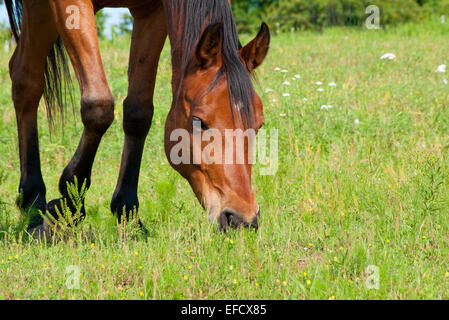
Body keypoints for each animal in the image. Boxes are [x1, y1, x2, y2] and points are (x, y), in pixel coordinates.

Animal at [5, 0, 270, 235]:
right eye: (199, 122)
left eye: (258, 126)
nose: (242, 220)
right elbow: (98, 105)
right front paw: (68, 206)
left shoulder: (150, 11)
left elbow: (138, 112)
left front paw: (127, 211)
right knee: (26, 81)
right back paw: (33, 201)